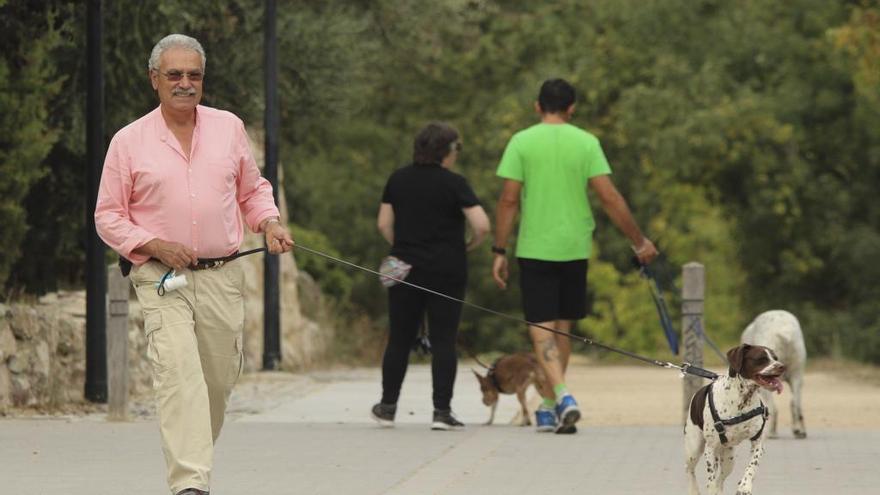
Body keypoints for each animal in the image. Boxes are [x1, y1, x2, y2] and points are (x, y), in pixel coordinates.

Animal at [684, 344, 788, 495]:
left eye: (775, 358)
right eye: (761, 358)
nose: (782, 366)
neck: (743, 400)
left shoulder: (758, 443)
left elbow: (752, 466)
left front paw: (745, 486)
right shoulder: (710, 448)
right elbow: (711, 479)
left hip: (729, 459)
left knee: (720, 480)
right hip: (694, 449)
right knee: (690, 470)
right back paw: (694, 490)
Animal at [740, 310, 808, 438]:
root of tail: (785, 333)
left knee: (774, 408)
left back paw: (771, 432)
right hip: (797, 375)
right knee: (795, 404)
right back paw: (799, 431)